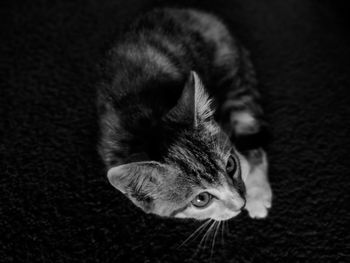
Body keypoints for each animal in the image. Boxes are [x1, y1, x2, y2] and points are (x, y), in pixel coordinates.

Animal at [97, 7, 272, 221]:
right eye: (201, 199)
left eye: (230, 164)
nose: (240, 203)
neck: (144, 122)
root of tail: (191, 12)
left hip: (230, 76)